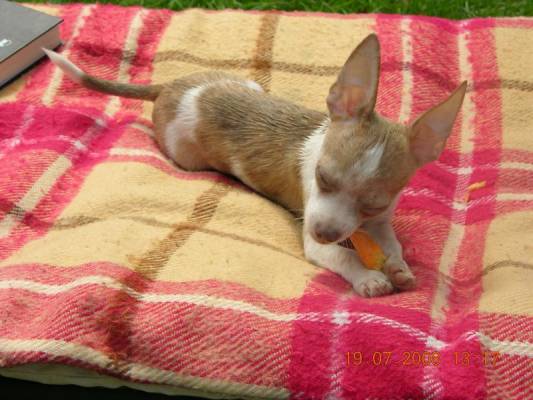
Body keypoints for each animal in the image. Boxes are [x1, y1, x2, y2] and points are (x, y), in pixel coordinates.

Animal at [43, 34, 466, 298]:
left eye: (374, 203)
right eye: (321, 177)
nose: (323, 231)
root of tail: (169, 88)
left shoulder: (380, 221)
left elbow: (392, 245)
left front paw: (398, 267)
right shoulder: (316, 236)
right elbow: (343, 254)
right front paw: (368, 277)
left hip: (249, 84)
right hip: (186, 153)